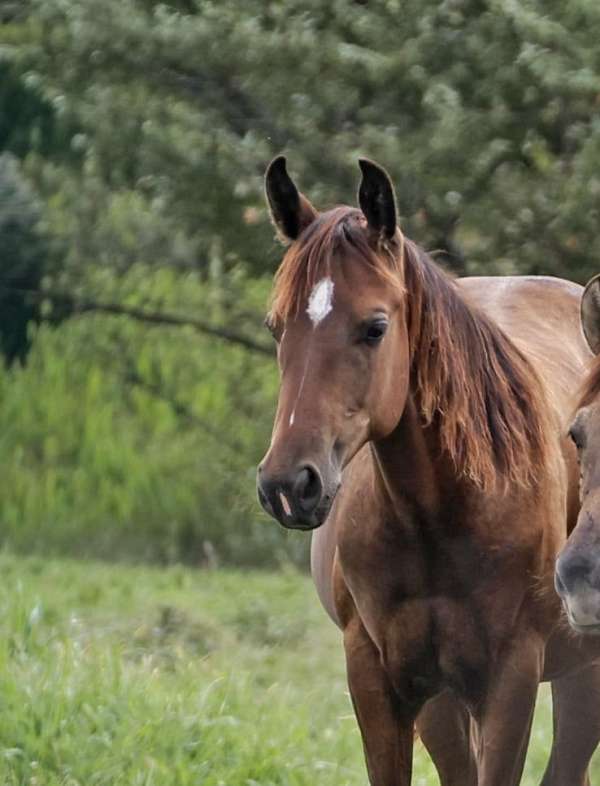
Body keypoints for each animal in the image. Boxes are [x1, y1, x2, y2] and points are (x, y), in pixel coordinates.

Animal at [256, 156, 600, 786]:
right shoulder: (383, 681)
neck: (439, 514)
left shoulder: (509, 682)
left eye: (375, 327)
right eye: (277, 327)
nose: (289, 485)